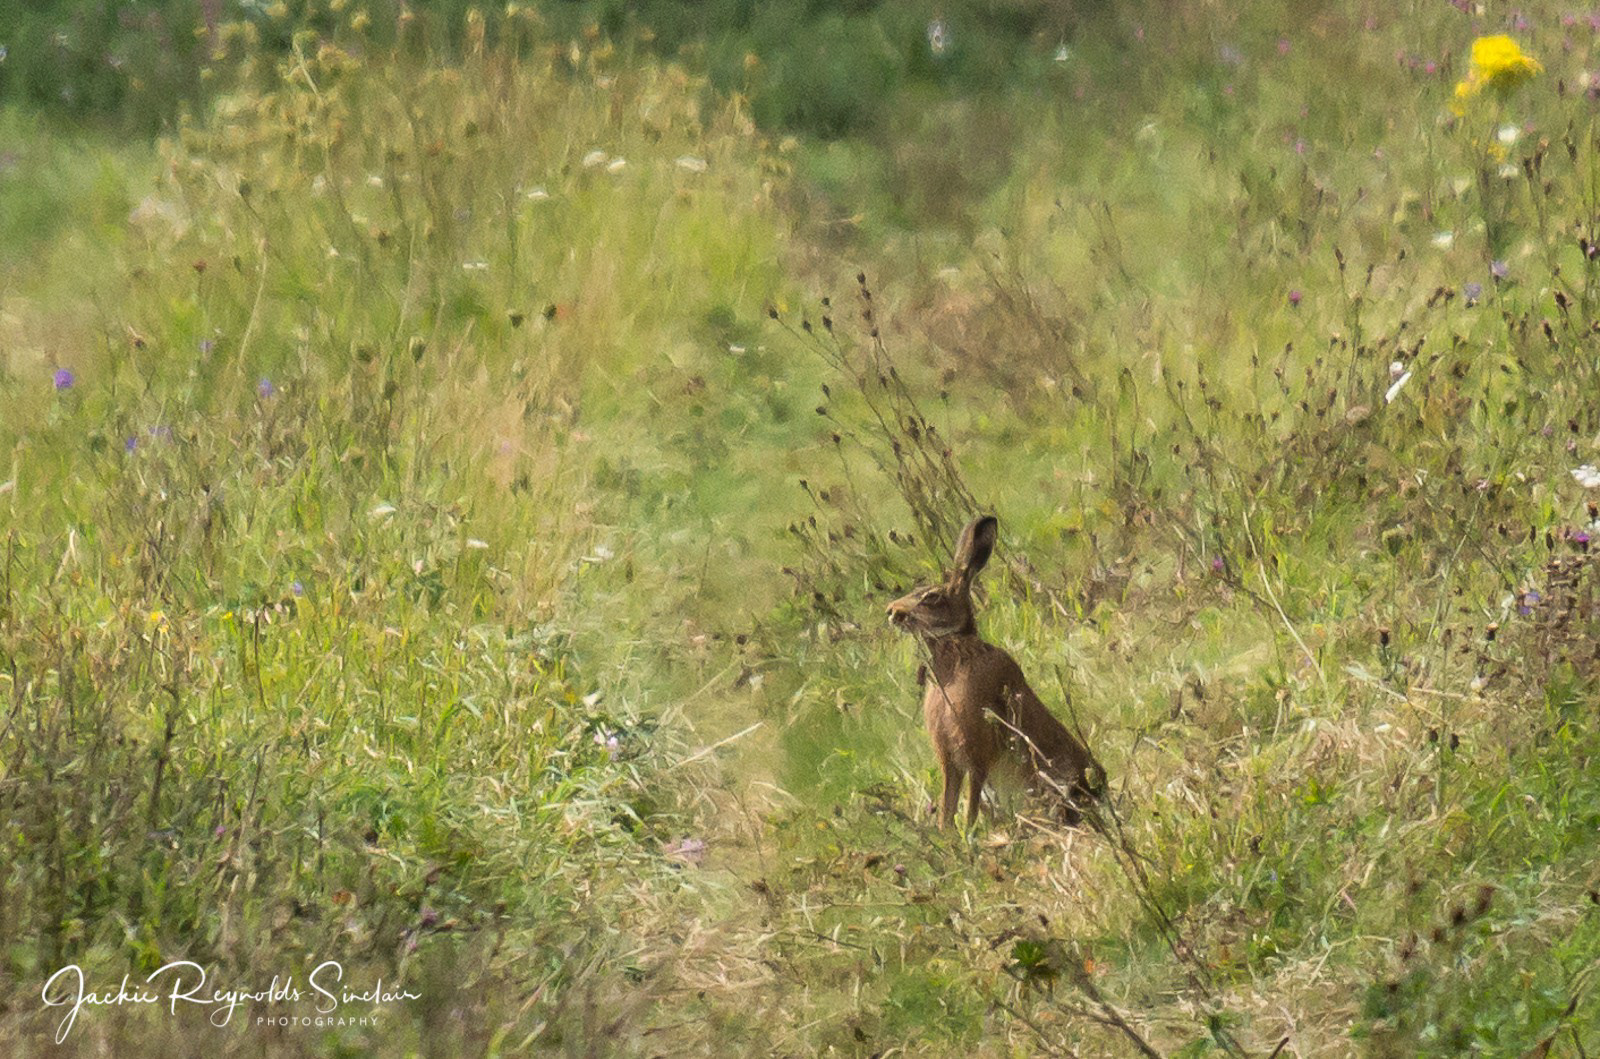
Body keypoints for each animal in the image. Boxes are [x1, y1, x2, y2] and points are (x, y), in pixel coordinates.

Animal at [887, 515, 1103, 829]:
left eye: (932, 597)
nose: (891, 611)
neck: (957, 651)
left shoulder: (976, 751)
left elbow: (970, 803)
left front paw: (968, 833)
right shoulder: (948, 758)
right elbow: (947, 804)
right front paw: (947, 833)